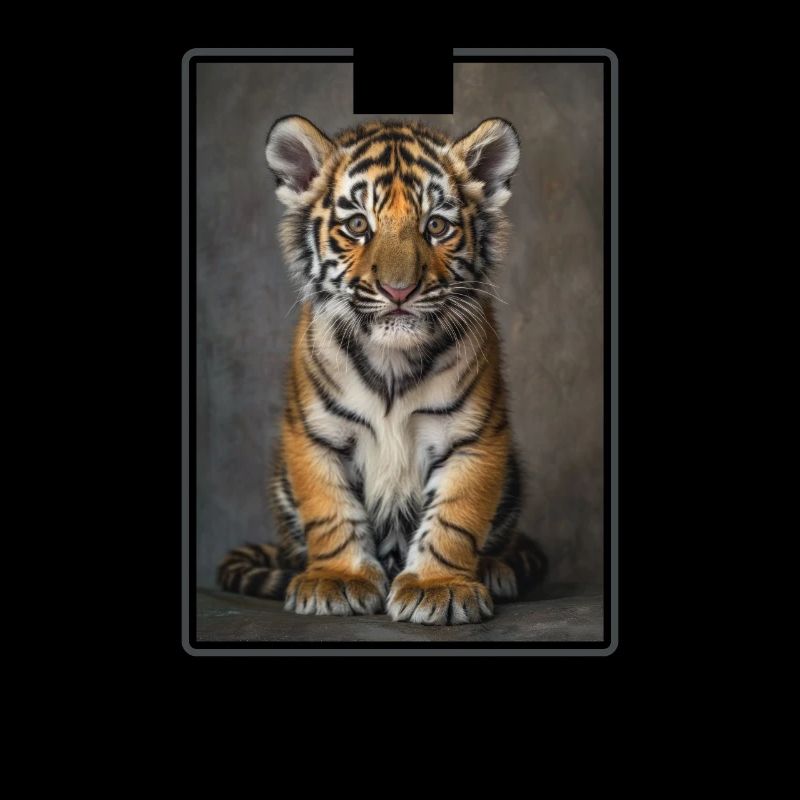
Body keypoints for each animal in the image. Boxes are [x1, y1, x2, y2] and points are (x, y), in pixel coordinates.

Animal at [217, 116, 547, 625]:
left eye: (436, 226)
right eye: (358, 225)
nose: (398, 290)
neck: (393, 361)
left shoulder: (475, 436)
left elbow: (455, 517)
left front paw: (438, 586)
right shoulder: (314, 434)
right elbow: (330, 511)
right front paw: (337, 579)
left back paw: (494, 570)